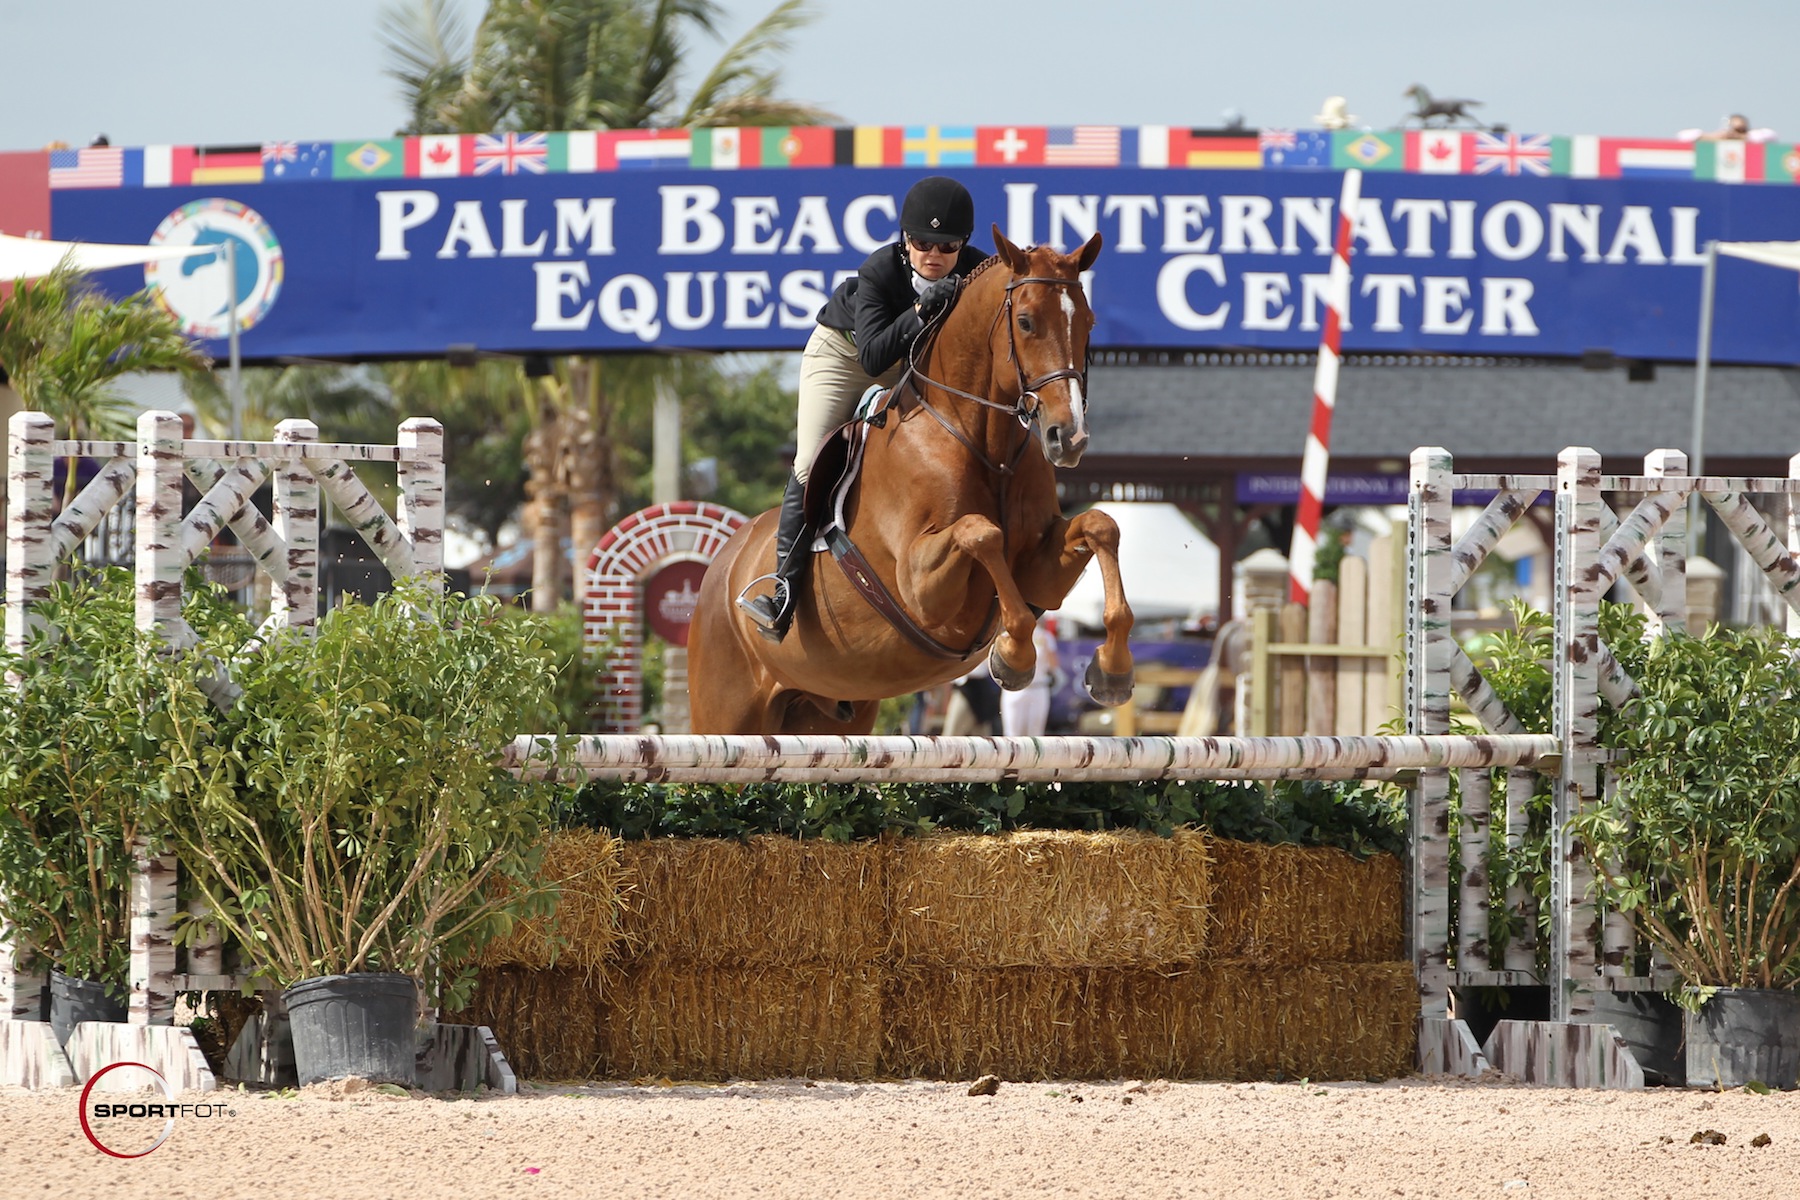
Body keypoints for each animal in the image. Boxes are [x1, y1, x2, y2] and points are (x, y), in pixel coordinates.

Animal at [687, 226, 1135, 735]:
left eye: (1089, 322)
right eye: (1024, 322)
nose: (1069, 437)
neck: (984, 443)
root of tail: (721, 566)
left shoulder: (1039, 572)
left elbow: (1101, 525)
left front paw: (1113, 670)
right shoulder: (919, 587)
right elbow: (982, 532)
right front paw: (1013, 656)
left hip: (830, 714)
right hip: (727, 713)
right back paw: (771, 605)